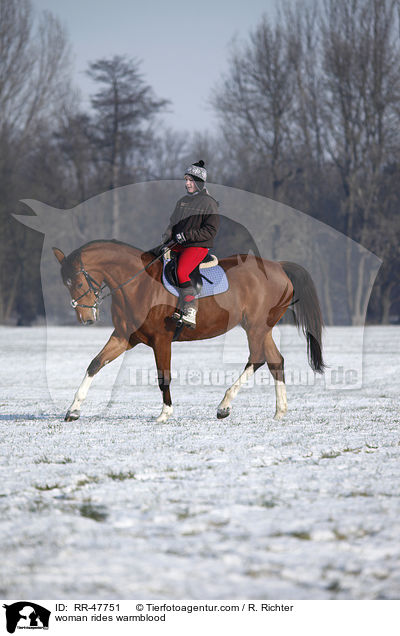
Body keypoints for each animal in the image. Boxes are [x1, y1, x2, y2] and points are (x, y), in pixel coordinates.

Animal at [52, 238, 324, 422]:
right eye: (66, 285)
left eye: (78, 283)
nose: (86, 318)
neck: (138, 285)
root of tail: (278, 267)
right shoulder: (123, 338)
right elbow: (95, 364)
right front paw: (73, 409)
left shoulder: (161, 339)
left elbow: (163, 377)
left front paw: (164, 413)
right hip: (261, 327)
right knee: (275, 360)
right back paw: (279, 411)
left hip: (256, 326)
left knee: (257, 358)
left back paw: (224, 406)